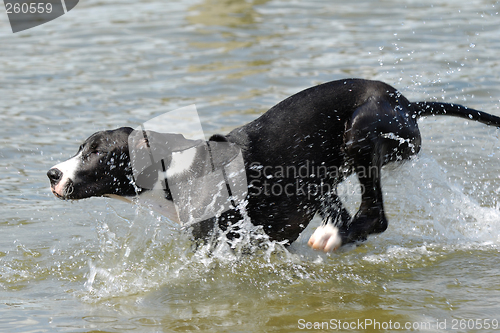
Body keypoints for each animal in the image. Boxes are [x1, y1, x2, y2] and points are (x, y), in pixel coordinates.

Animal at [47, 79, 500, 250]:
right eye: (80, 147)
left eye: (95, 152)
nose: (52, 173)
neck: (175, 170)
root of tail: (406, 103)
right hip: (325, 172)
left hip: (360, 130)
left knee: (374, 215)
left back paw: (337, 236)